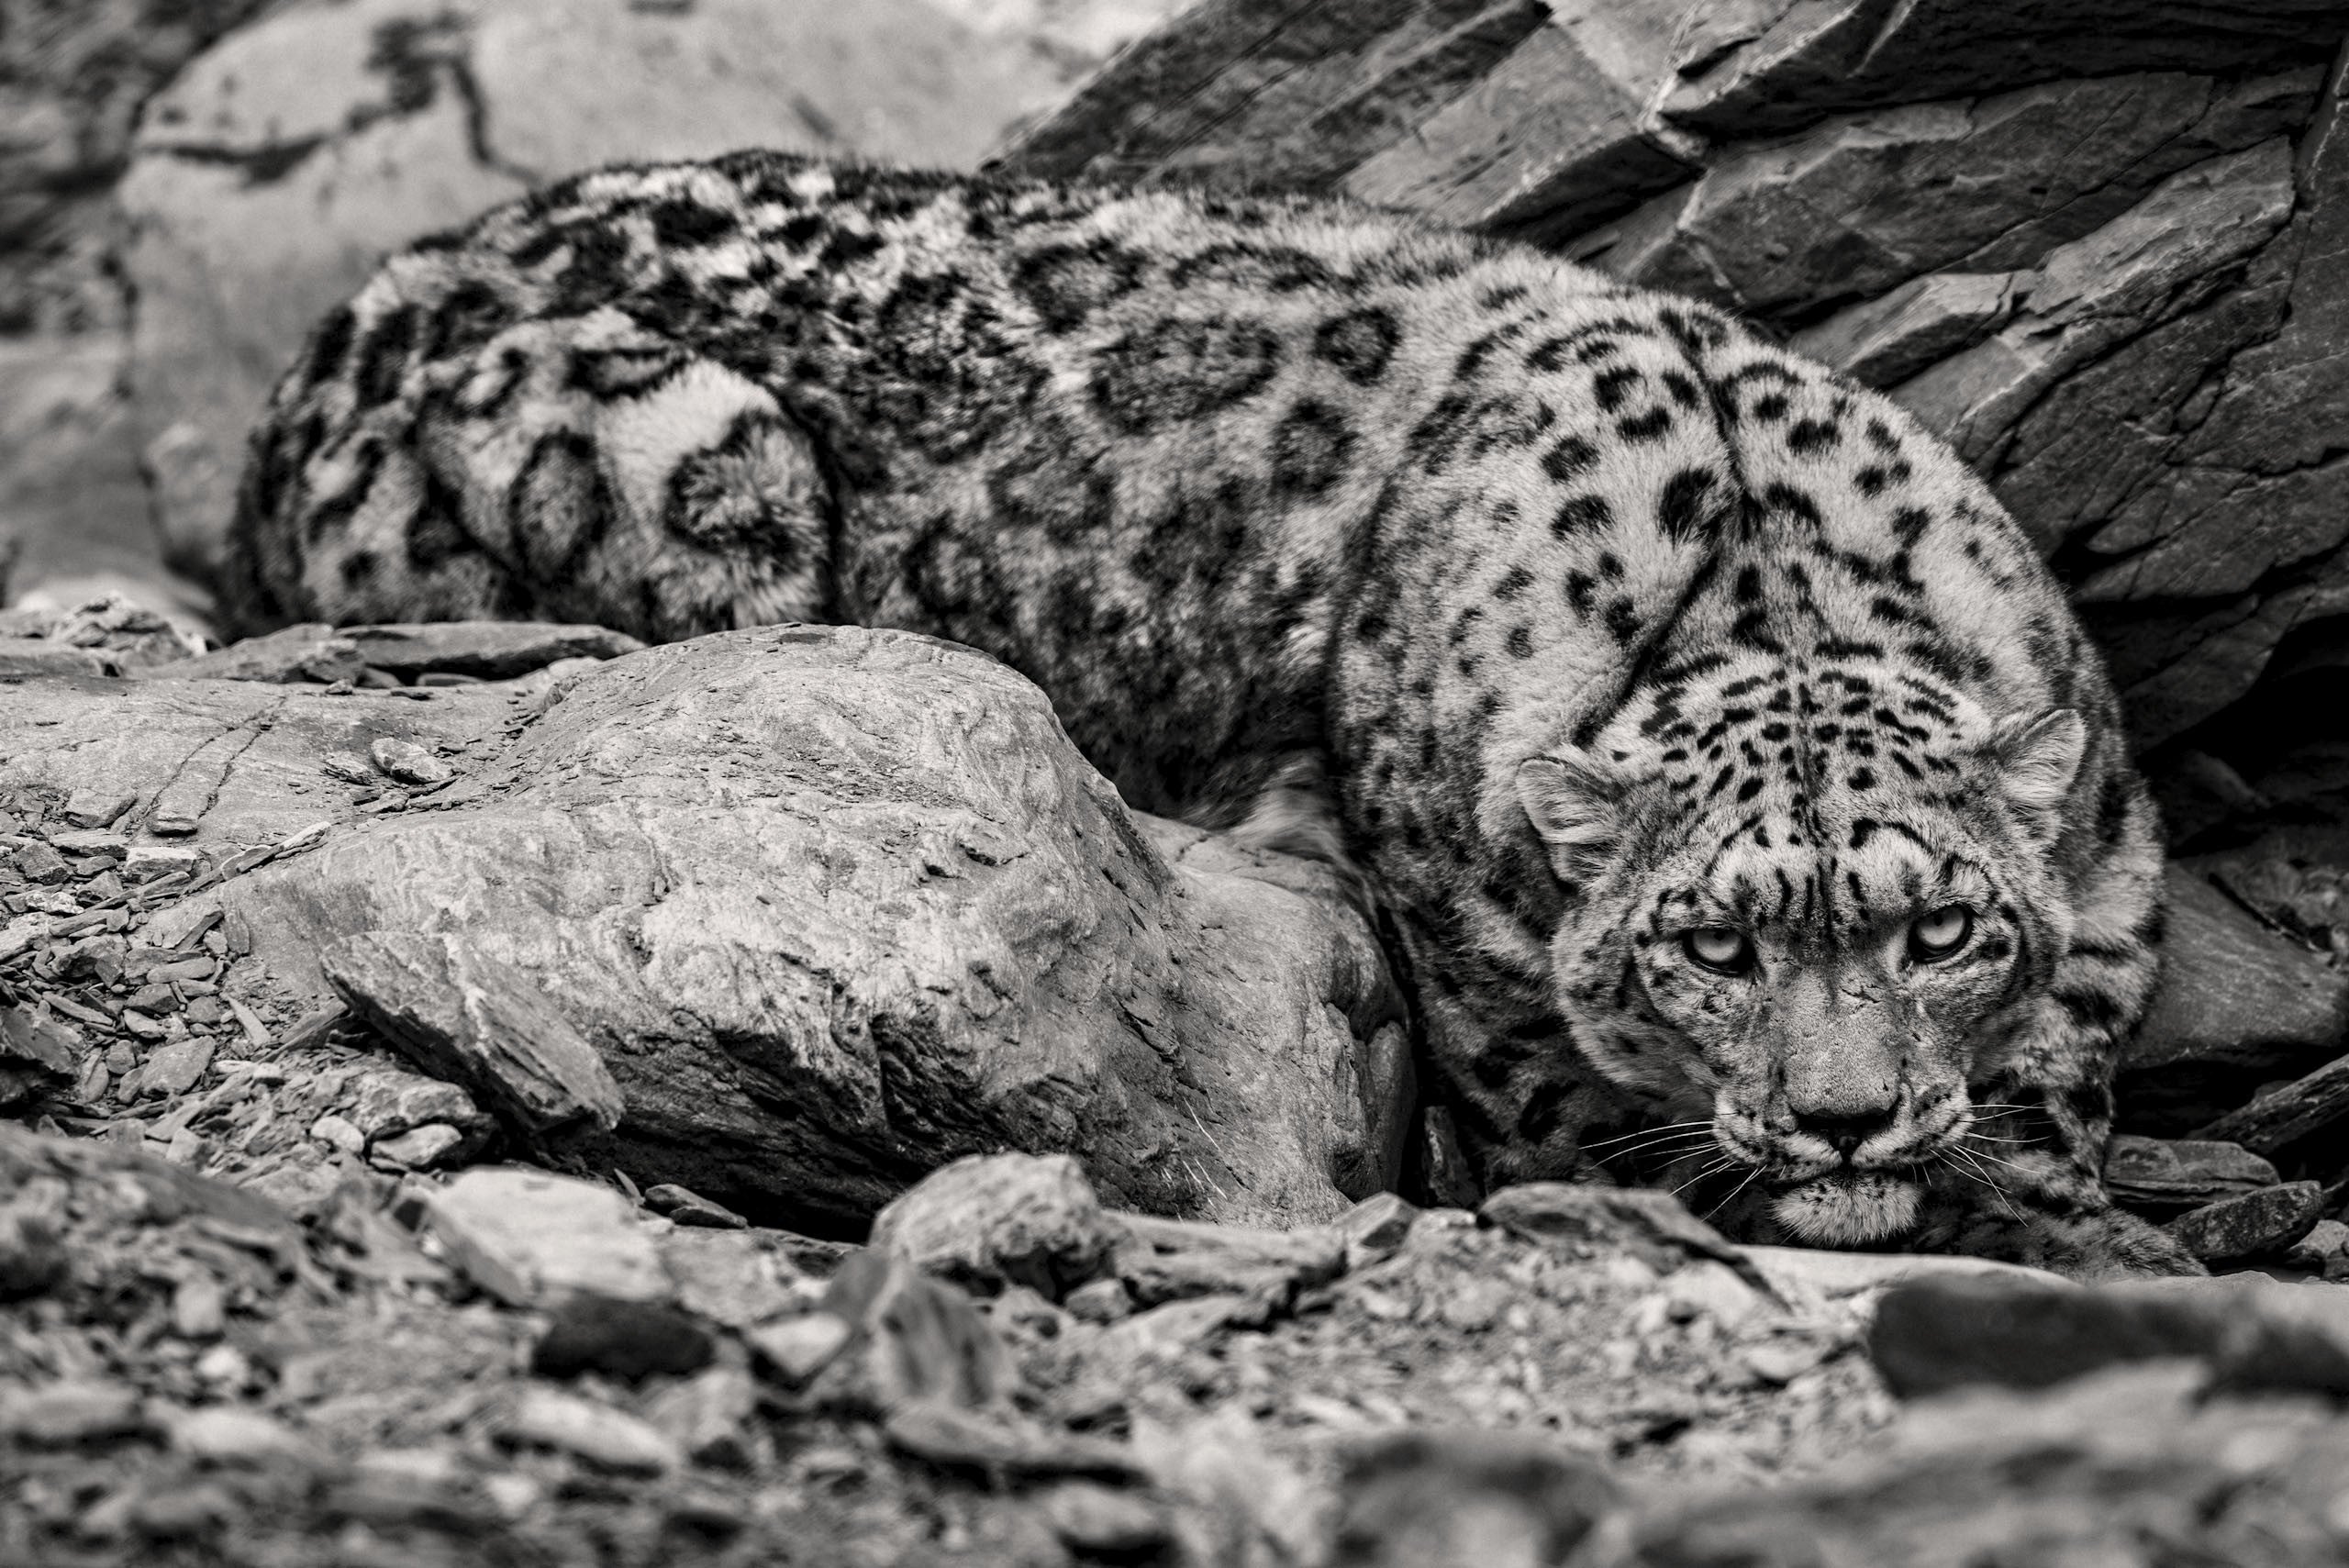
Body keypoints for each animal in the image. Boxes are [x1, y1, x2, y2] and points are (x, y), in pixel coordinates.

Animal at [220, 150, 2200, 1279]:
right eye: (1710, 945)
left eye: (1941, 926)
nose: (1847, 1117)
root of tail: (335, 332)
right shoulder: (1494, 1002)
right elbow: (1582, 1122)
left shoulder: (2111, 863)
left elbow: (2066, 1046)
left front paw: (2051, 1182)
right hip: (701, 469)